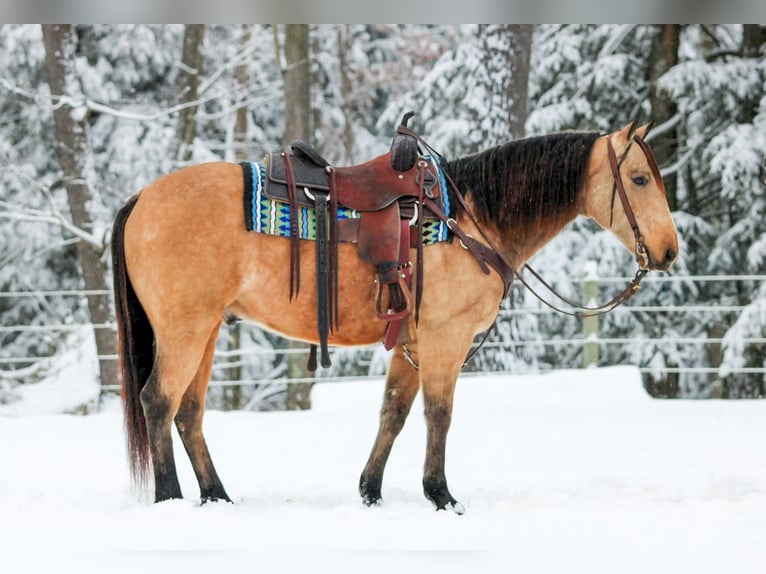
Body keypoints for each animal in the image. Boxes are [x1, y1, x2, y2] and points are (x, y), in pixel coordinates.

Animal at [111, 122, 678, 513]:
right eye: (639, 178)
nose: (670, 251)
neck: (471, 218)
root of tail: (141, 198)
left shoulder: (413, 344)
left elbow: (394, 413)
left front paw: (371, 491)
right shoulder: (446, 339)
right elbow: (439, 415)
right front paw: (442, 495)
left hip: (205, 331)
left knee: (188, 412)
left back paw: (217, 496)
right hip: (183, 331)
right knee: (158, 401)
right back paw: (170, 497)